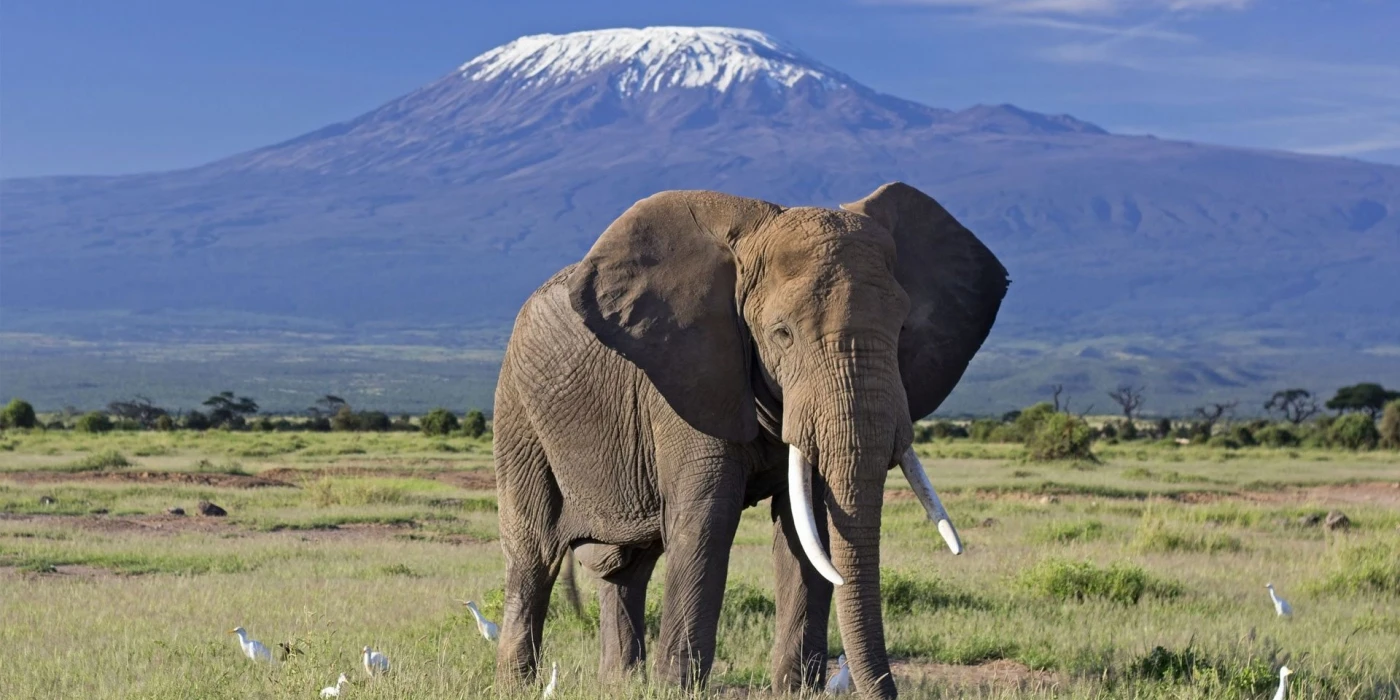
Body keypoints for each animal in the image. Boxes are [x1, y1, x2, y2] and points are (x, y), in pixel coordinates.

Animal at [490, 182, 1008, 700]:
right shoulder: (688, 378)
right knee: (534, 553)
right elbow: (707, 520)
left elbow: (809, 526)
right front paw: (679, 690)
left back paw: (621, 684)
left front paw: (798, 692)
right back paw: (518, 684)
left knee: (628, 566)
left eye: (902, 329)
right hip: (517, 410)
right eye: (782, 334)